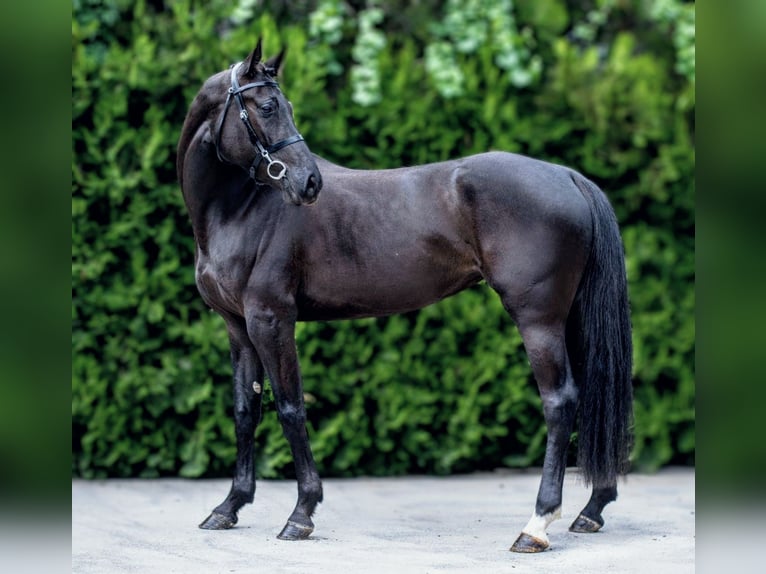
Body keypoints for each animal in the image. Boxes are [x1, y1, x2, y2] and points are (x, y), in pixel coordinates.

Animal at [176, 41, 633, 553]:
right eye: (270, 106)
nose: (310, 183)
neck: (241, 210)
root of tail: (568, 175)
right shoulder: (237, 327)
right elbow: (245, 411)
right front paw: (229, 507)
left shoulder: (271, 319)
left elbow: (291, 409)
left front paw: (301, 512)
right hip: (569, 317)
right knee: (594, 390)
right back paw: (591, 509)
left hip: (538, 320)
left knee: (559, 401)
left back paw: (536, 524)